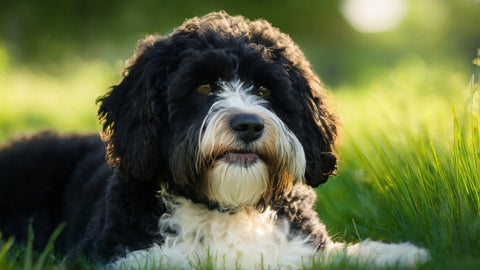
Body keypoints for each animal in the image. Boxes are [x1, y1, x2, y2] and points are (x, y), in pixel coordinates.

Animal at [0, 11, 428, 268]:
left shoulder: (297, 246)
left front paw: (400, 253)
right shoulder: (114, 254)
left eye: (264, 88)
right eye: (204, 86)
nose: (249, 125)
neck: (226, 208)